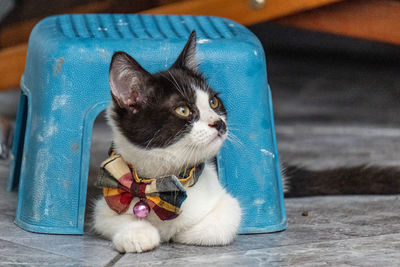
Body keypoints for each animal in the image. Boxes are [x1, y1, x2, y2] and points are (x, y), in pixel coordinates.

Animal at [94, 31, 241, 253]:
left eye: (213, 102)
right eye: (183, 110)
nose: (219, 123)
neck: (161, 182)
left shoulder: (227, 204)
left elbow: (213, 229)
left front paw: (176, 232)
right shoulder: (104, 206)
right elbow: (108, 219)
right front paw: (137, 234)